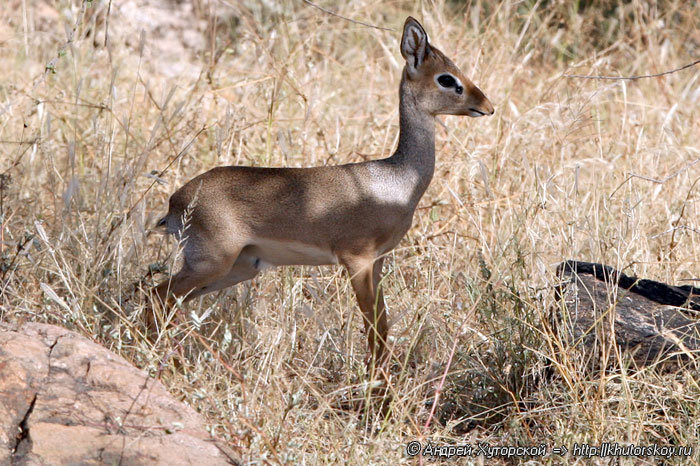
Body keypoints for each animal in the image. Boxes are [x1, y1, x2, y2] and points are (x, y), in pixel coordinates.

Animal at [153, 17, 492, 368]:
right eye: (446, 78)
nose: (486, 106)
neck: (396, 180)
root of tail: (175, 202)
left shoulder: (378, 262)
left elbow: (382, 324)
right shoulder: (356, 259)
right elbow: (372, 327)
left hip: (238, 267)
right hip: (211, 263)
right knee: (157, 296)